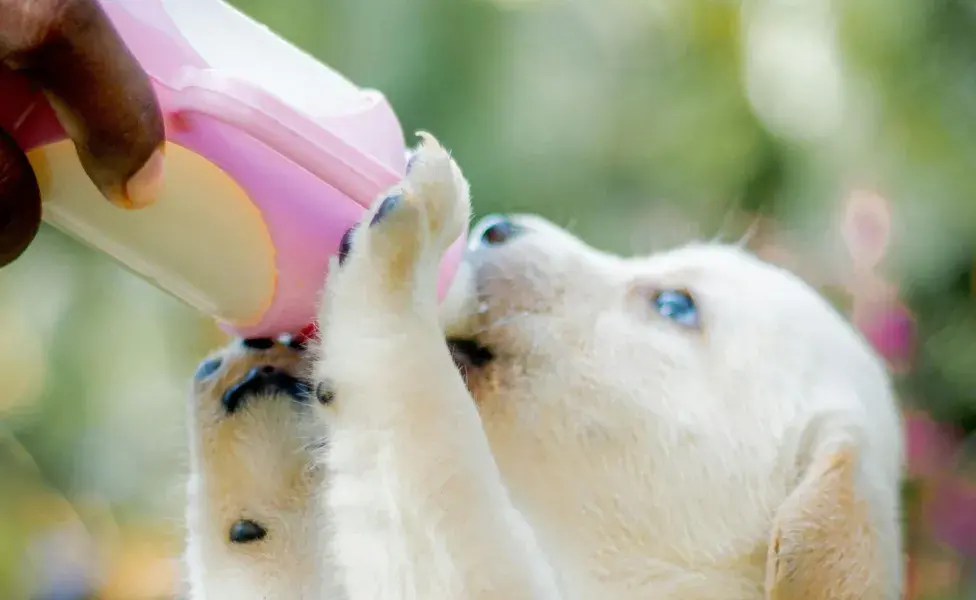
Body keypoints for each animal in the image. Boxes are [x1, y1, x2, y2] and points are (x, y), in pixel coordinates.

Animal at [181, 135, 900, 600]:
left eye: (674, 305)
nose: (497, 227)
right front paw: (265, 455)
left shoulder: (476, 570)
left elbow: (427, 437)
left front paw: (407, 244)